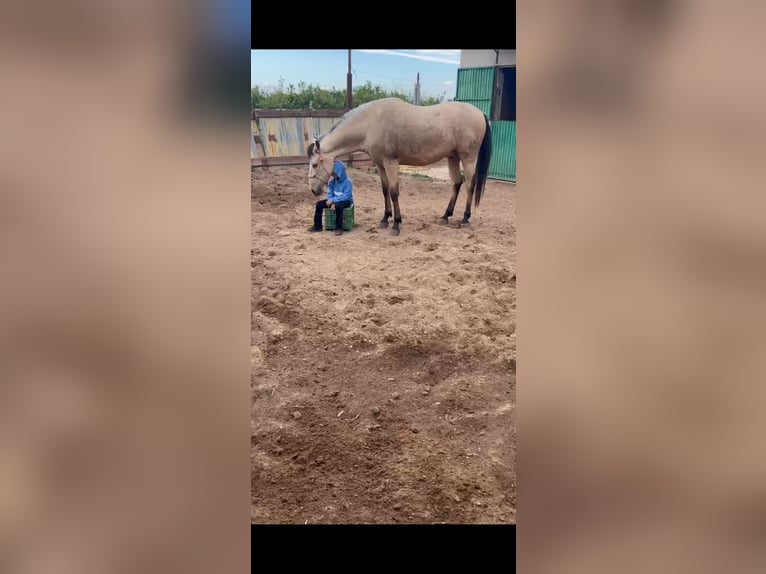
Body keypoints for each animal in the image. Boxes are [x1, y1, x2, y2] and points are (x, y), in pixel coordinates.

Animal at [308, 99, 496, 236]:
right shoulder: (380, 164)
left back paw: (465, 219)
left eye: (315, 164)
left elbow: (394, 192)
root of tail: (480, 113)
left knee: (470, 184)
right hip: (453, 157)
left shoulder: (391, 162)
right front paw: (385, 219)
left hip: (468, 158)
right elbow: (385, 191)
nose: (313, 190)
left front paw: (396, 224)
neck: (371, 122)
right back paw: (445, 216)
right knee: (457, 182)